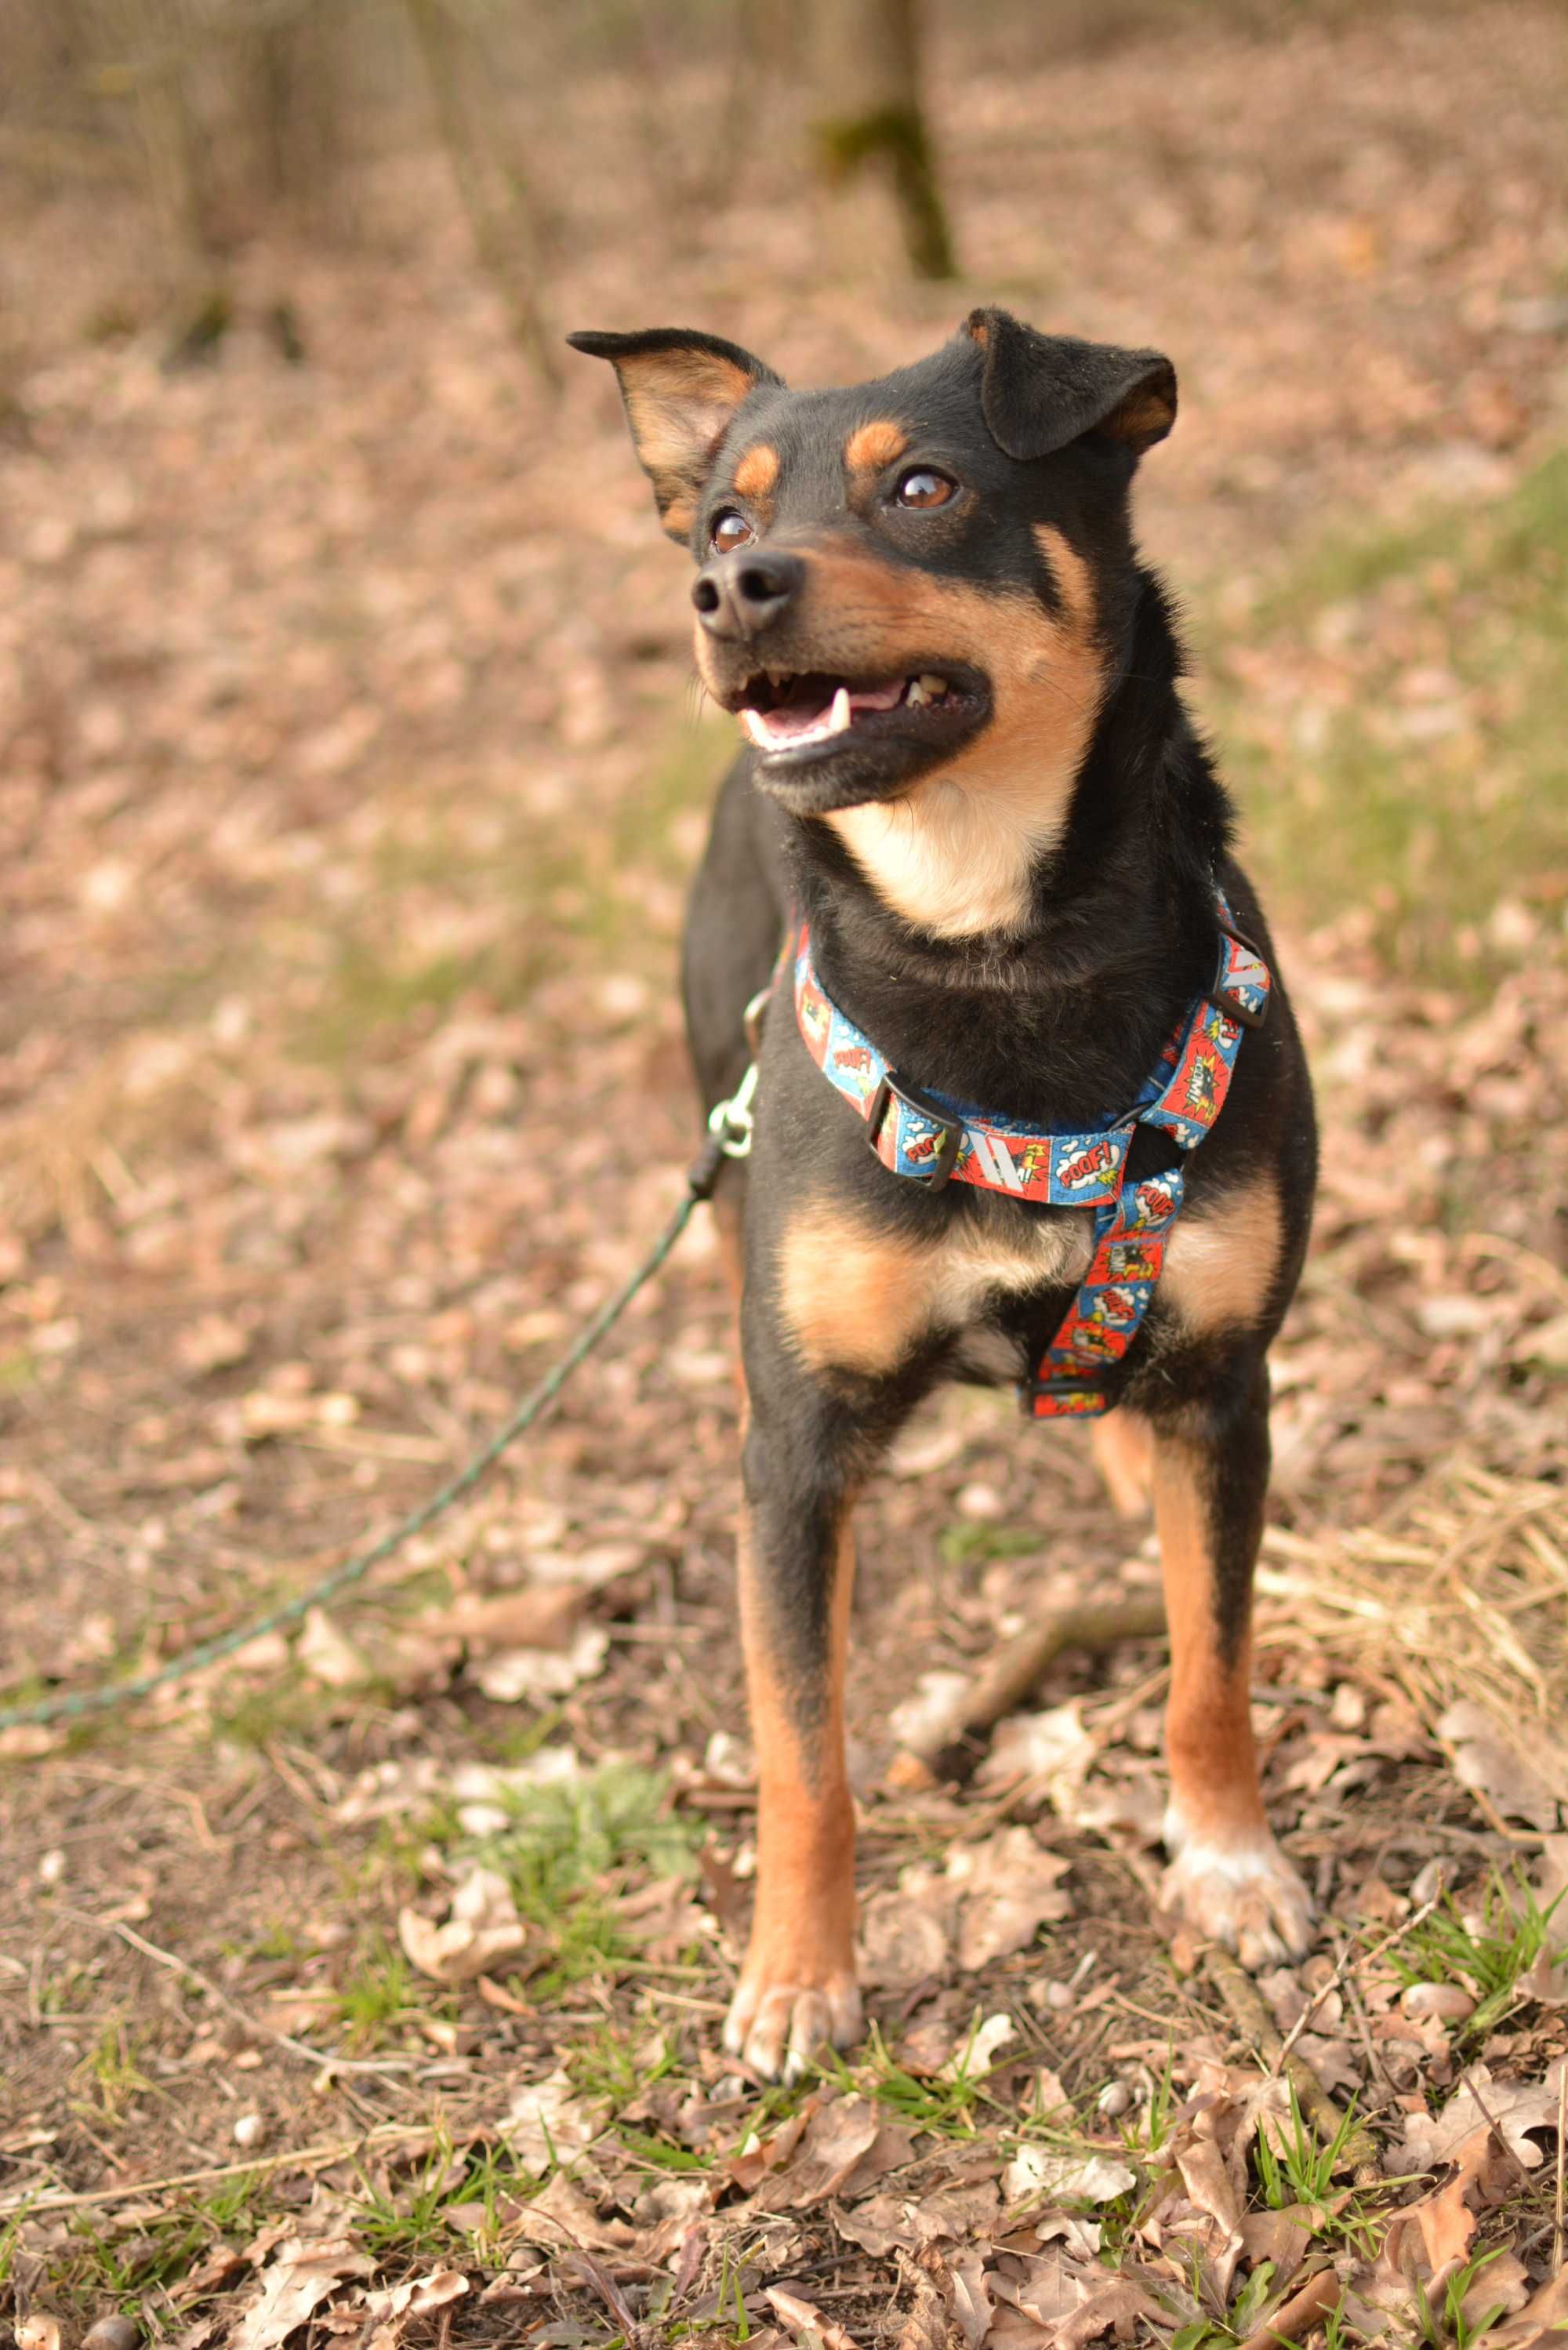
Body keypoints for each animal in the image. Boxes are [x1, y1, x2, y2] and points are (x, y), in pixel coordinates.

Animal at [571, 307, 1316, 2077]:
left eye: (921, 485)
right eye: (722, 516)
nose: (730, 587)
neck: (989, 945)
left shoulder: (1224, 1386)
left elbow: (1209, 1666)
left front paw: (1228, 1862)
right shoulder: (801, 1457)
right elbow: (802, 1751)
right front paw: (797, 1973)